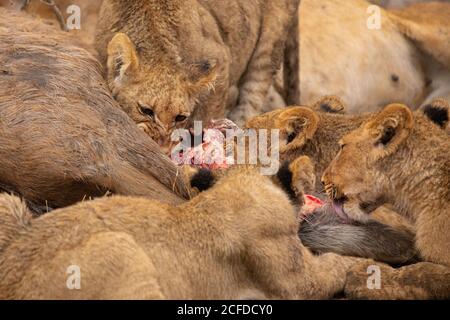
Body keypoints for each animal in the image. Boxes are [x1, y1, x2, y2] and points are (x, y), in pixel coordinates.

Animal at [94, 0, 298, 150]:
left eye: (180, 118)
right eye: (145, 110)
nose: (162, 147)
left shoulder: (220, 61)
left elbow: (206, 118)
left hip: (269, 43)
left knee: (252, 97)